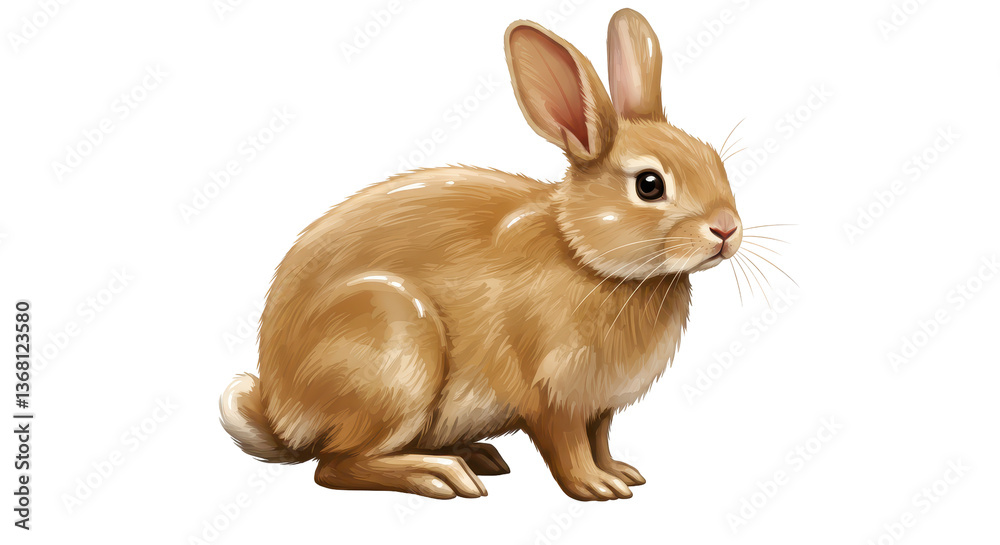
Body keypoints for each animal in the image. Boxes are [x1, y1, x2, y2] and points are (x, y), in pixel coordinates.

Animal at [220, 8, 743, 502]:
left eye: (714, 160)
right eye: (649, 185)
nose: (727, 229)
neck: (585, 256)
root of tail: (280, 413)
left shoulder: (600, 409)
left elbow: (601, 439)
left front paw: (620, 472)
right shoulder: (552, 399)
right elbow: (569, 448)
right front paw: (597, 487)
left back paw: (475, 455)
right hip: (394, 344)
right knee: (335, 466)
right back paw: (438, 474)